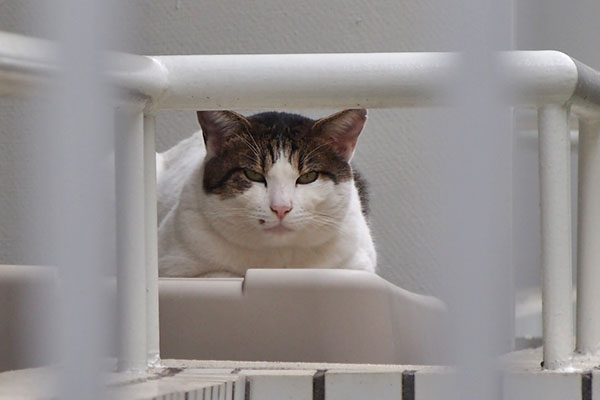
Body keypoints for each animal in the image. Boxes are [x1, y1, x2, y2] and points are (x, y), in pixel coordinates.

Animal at [157, 109, 378, 278]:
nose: (281, 208)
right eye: (253, 174)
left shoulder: (358, 265)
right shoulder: (174, 267)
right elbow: (222, 274)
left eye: (309, 176)